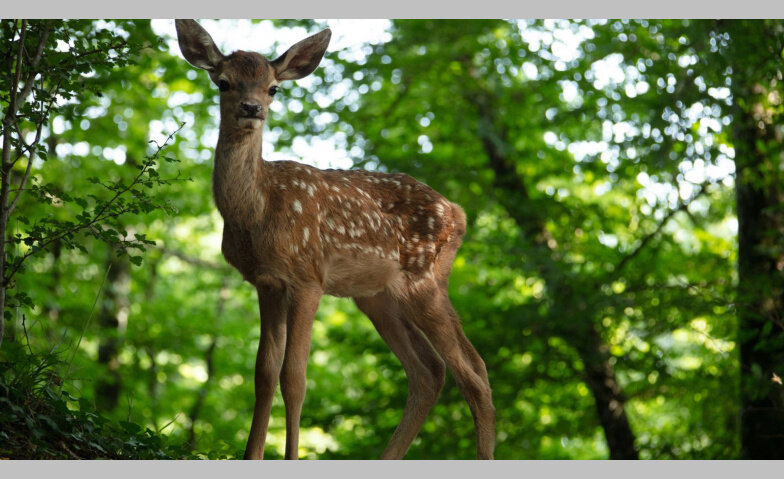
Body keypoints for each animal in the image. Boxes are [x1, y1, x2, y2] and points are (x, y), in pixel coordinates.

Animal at [176, 19, 496, 462]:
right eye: (224, 82)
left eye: (273, 88)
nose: (251, 108)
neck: (257, 210)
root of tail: (458, 213)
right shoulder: (267, 282)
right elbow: (264, 372)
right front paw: (251, 456)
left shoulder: (309, 276)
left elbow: (294, 377)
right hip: (377, 297)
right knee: (429, 371)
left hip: (424, 279)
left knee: (473, 370)